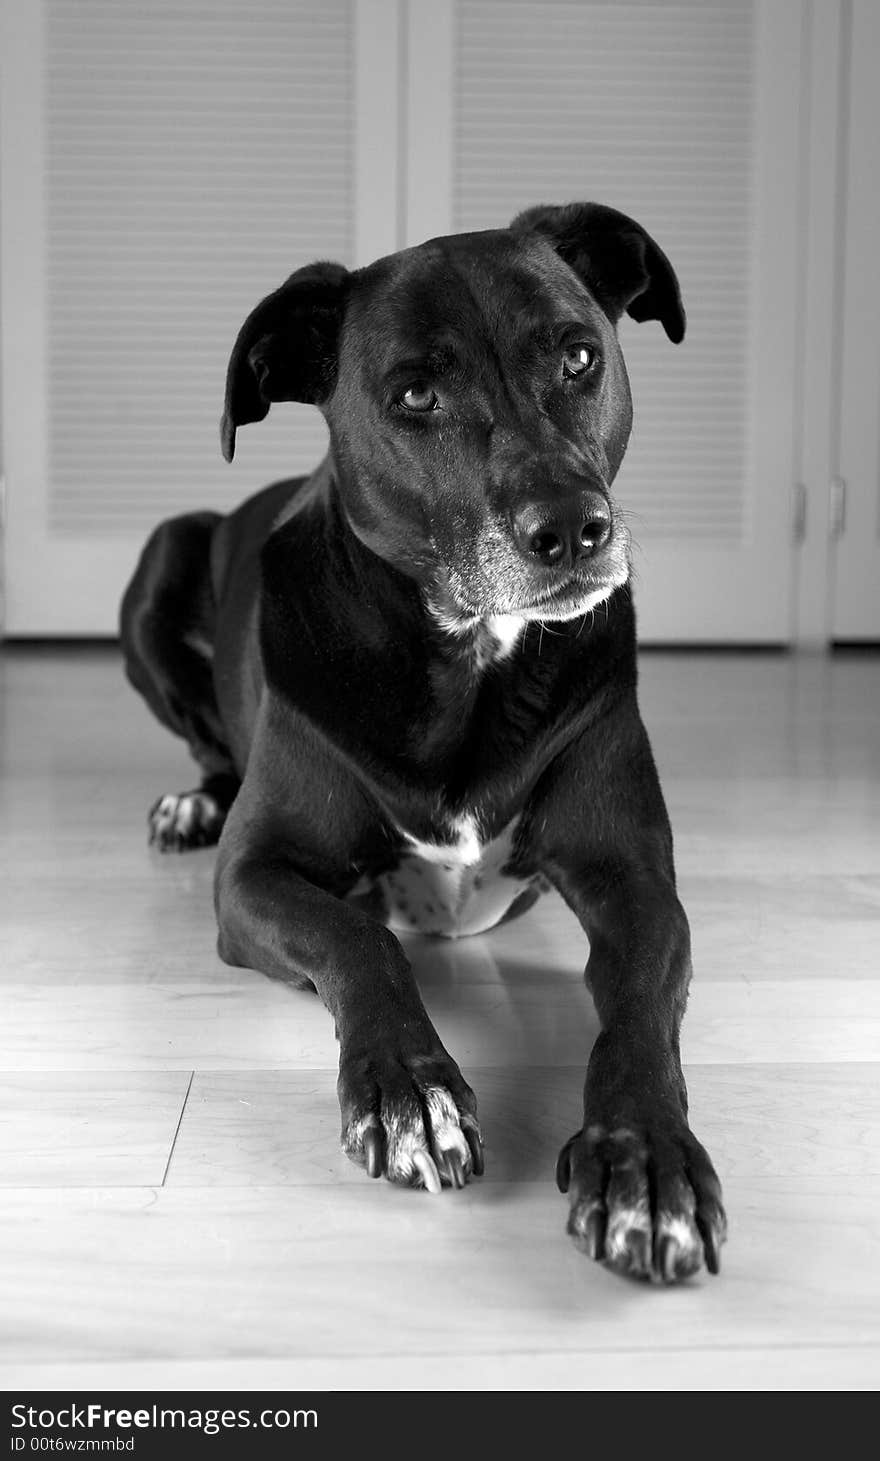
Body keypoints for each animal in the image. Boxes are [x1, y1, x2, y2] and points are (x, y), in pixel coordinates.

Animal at [123, 203, 725, 1279]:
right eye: (414, 393)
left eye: (578, 356)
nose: (574, 529)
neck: (470, 655)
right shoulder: (254, 879)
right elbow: (357, 935)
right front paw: (411, 1090)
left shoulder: (635, 881)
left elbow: (641, 1014)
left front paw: (645, 1158)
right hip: (162, 557)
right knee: (212, 751)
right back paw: (195, 801)